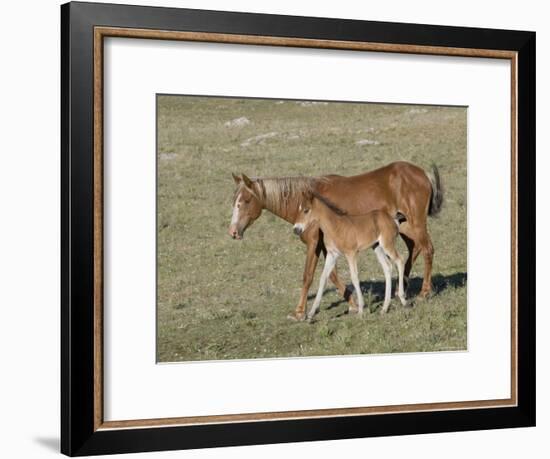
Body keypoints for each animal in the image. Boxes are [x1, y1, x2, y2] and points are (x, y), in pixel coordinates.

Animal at [229, 162, 444, 324]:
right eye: (234, 201)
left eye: (246, 200)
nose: (233, 232)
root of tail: (422, 173)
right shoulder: (329, 248)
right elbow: (330, 276)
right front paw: (352, 304)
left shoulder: (314, 244)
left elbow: (308, 276)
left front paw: (299, 312)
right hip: (404, 228)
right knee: (413, 250)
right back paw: (402, 289)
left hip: (415, 225)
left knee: (427, 250)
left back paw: (423, 293)